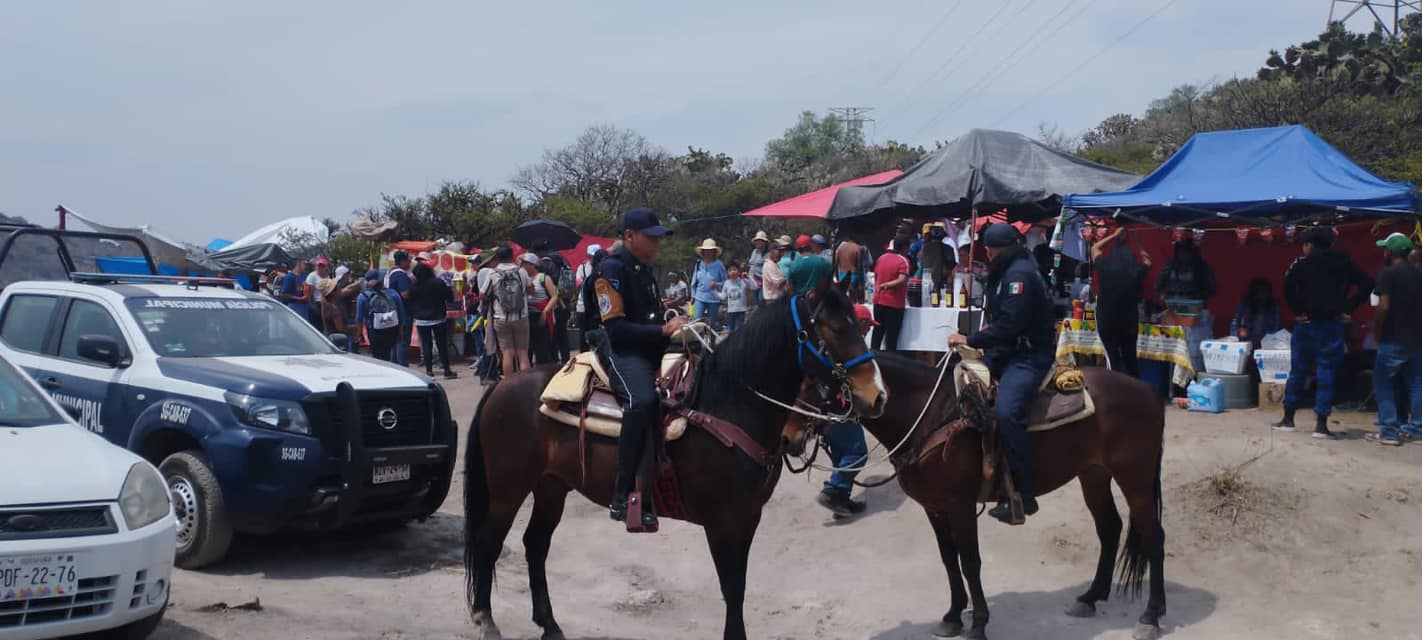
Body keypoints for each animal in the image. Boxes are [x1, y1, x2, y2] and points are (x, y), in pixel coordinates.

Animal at [460, 288, 881, 640]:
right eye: (835, 328)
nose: (877, 395)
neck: (727, 404)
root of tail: (503, 384)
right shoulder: (724, 520)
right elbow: (732, 587)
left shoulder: (748, 516)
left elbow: (739, 585)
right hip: (507, 490)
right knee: (487, 542)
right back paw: (485, 619)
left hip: (551, 486)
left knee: (535, 545)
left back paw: (549, 624)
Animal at [790, 352, 1166, 640]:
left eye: (813, 385)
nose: (788, 438)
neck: (931, 415)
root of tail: (1148, 392)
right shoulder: (934, 507)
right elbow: (948, 559)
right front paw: (953, 615)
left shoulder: (959, 505)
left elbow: (970, 562)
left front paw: (978, 624)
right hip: (1094, 475)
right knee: (1110, 529)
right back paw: (1090, 597)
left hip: (1135, 477)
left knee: (1153, 537)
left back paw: (1151, 615)